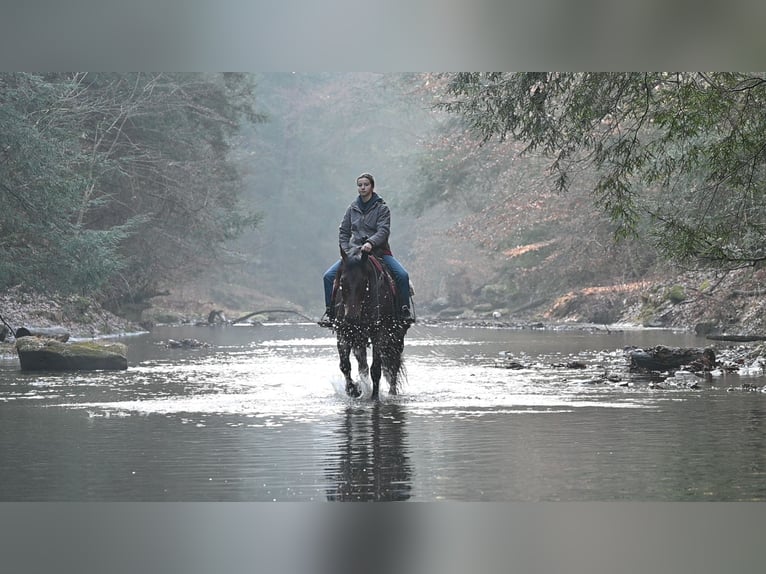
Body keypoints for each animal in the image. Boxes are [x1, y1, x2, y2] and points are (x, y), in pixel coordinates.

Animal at [332, 246, 410, 400]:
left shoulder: (379, 334)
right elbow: (345, 365)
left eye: (363, 281)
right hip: (360, 340)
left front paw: (374, 397)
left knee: (394, 365)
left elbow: (376, 369)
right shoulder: (343, 333)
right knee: (363, 366)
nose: (351, 318)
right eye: (342, 281)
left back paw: (392, 393)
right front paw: (354, 390)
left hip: (397, 338)